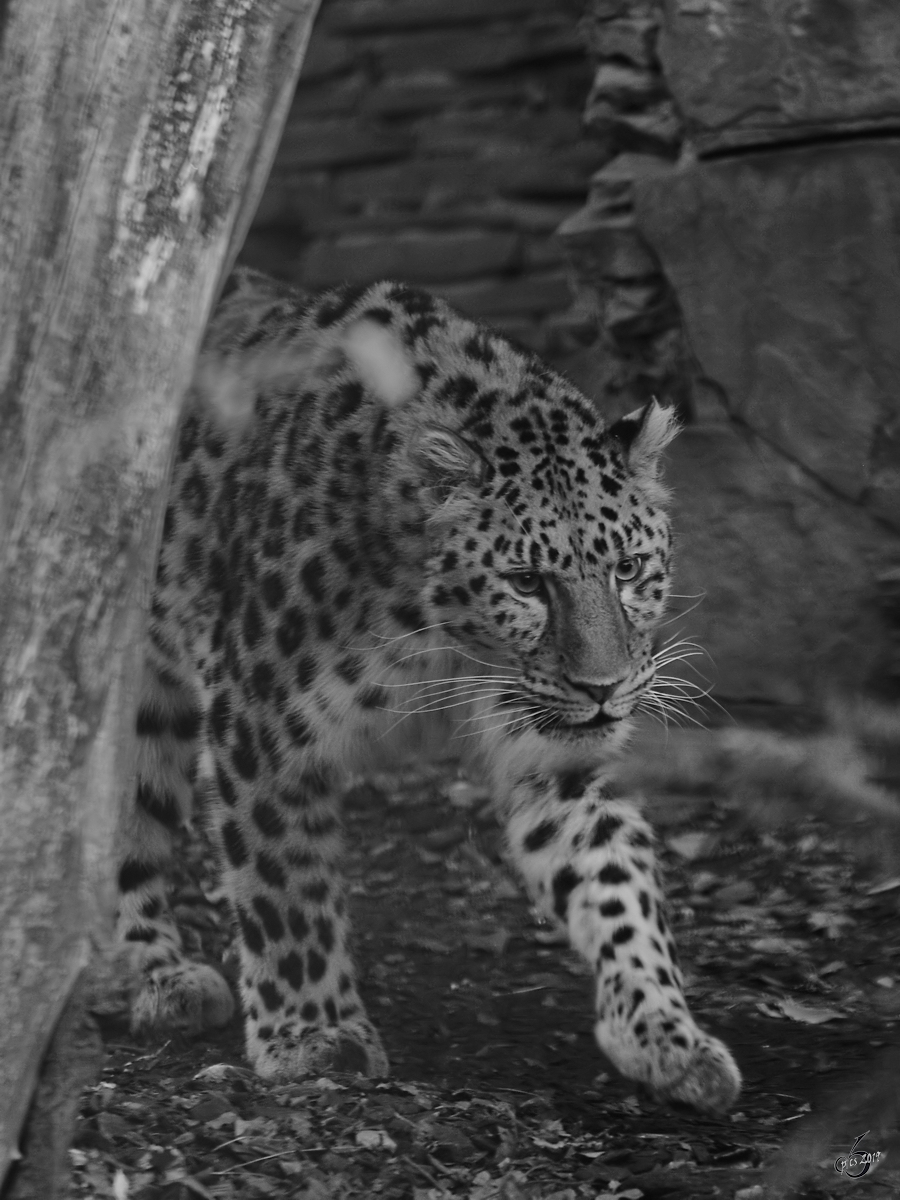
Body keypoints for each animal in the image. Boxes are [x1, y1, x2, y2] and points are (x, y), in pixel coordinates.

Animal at [116, 272, 744, 1113]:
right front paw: (313, 1034)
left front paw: (665, 1033)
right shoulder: (260, 721)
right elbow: (285, 882)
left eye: (629, 568)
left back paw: (154, 974)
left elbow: (617, 879)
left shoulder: (554, 750)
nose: (604, 688)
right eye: (525, 581)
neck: (445, 644)